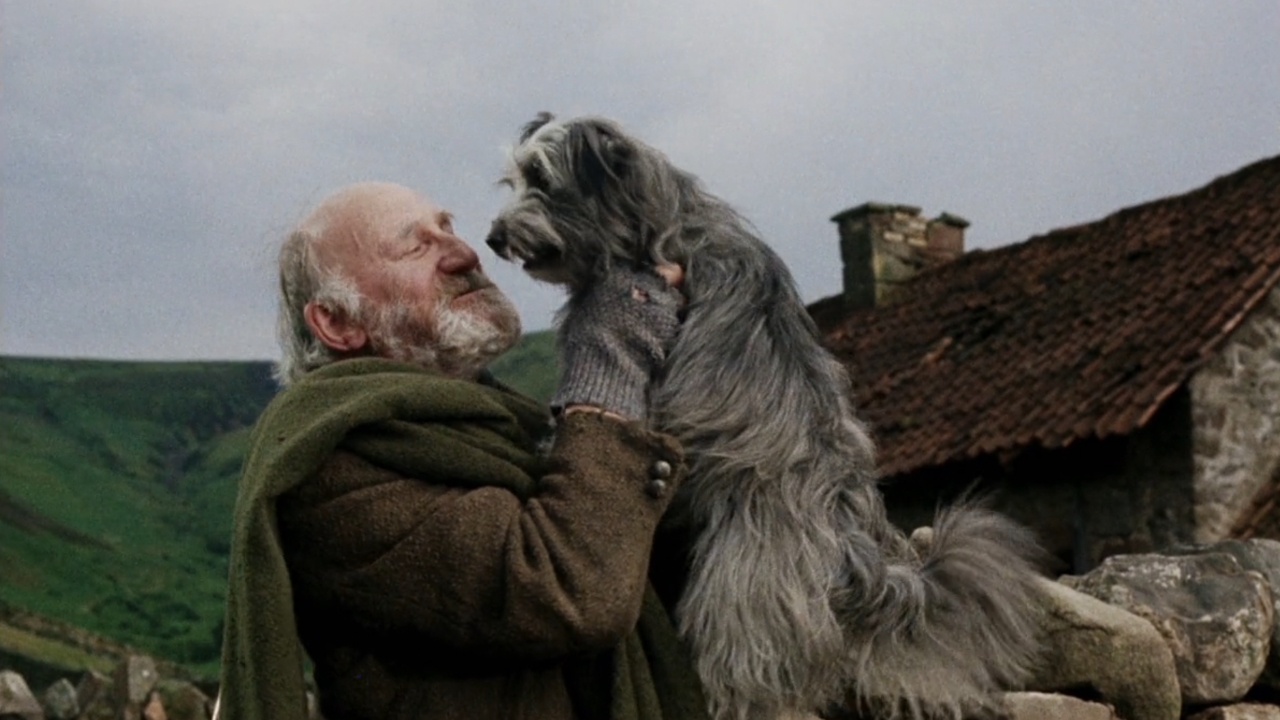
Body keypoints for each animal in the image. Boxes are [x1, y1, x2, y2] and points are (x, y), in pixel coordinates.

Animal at [483, 113, 1044, 717]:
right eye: (515, 179)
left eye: (542, 178)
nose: (493, 237)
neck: (657, 226)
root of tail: (856, 561)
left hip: (741, 587)